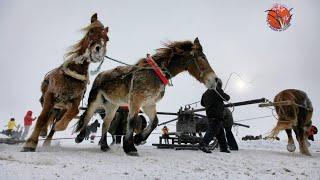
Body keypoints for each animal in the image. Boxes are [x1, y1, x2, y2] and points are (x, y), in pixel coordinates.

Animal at [22, 12, 110, 151]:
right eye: (91, 31)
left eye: (107, 39)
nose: (99, 50)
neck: (72, 77)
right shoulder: (50, 96)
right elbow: (42, 118)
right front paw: (30, 143)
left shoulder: (74, 102)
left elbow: (73, 112)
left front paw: (59, 126)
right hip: (52, 103)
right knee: (46, 115)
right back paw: (43, 131)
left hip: (61, 108)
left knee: (53, 121)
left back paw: (48, 140)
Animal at [74, 37, 219, 155]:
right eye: (202, 57)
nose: (216, 80)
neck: (156, 73)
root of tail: (100, 75)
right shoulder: (136, 101)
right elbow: (132, 121)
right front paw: (130, 147)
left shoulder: (149, 104)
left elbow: (154, 122)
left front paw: (138, 139)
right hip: (95, 100)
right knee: (87, 116)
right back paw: (80, 137)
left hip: (112, 106)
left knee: (106, 123)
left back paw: (104, 146)